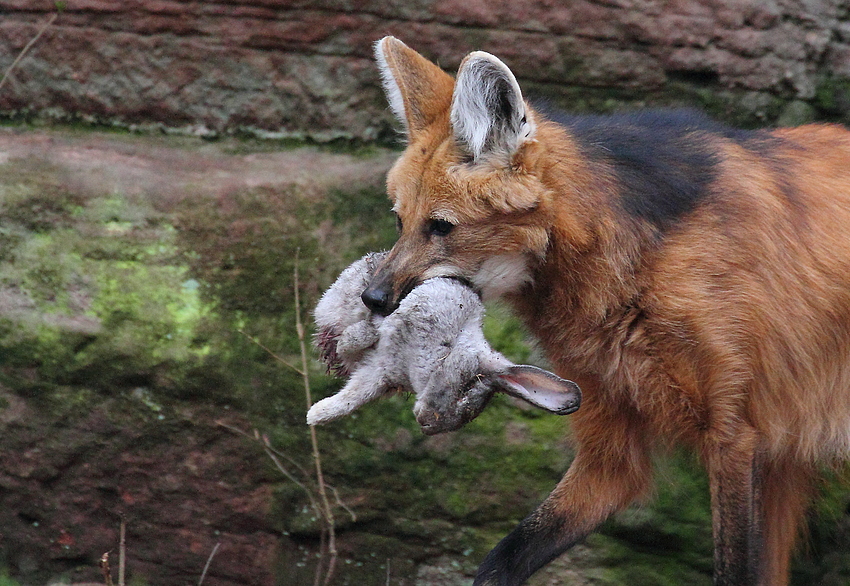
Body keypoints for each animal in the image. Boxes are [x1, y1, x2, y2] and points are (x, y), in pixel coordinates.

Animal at [366, 36, 850, 584]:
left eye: (442, 227)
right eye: (400, 221)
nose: (372, 298)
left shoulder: (735, 438)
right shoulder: (610, 440)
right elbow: (502, 559)